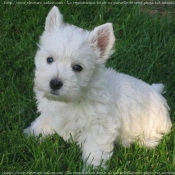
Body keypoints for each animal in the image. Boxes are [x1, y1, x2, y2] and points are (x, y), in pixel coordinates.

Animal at [24, 6, 172, 170]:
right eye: (49, 59)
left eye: (77, 67)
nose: (55, 83)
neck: (75, 98)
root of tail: (156, 91)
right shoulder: (51, 112)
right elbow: (42, 123)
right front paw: (29, 134)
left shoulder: (100, 128)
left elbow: (95, 151)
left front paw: (92, 169)